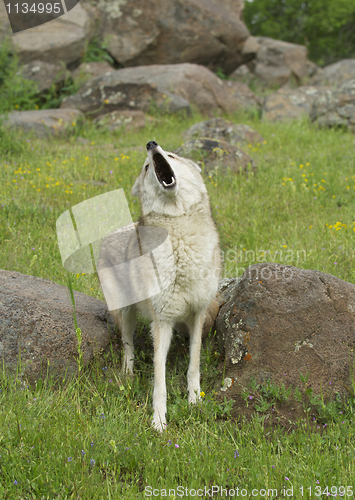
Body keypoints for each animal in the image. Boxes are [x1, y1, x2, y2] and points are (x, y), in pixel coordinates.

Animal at [101, 141, 222, 430]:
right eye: (147, 168)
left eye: (172, 156)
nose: (151, 144)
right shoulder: (162, 322)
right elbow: (160, 379)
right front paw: (158, 421)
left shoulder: (198, 315)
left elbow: (193, 365)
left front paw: (194, 402)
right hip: (125, 314)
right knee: (128, 347)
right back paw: (128, 377)